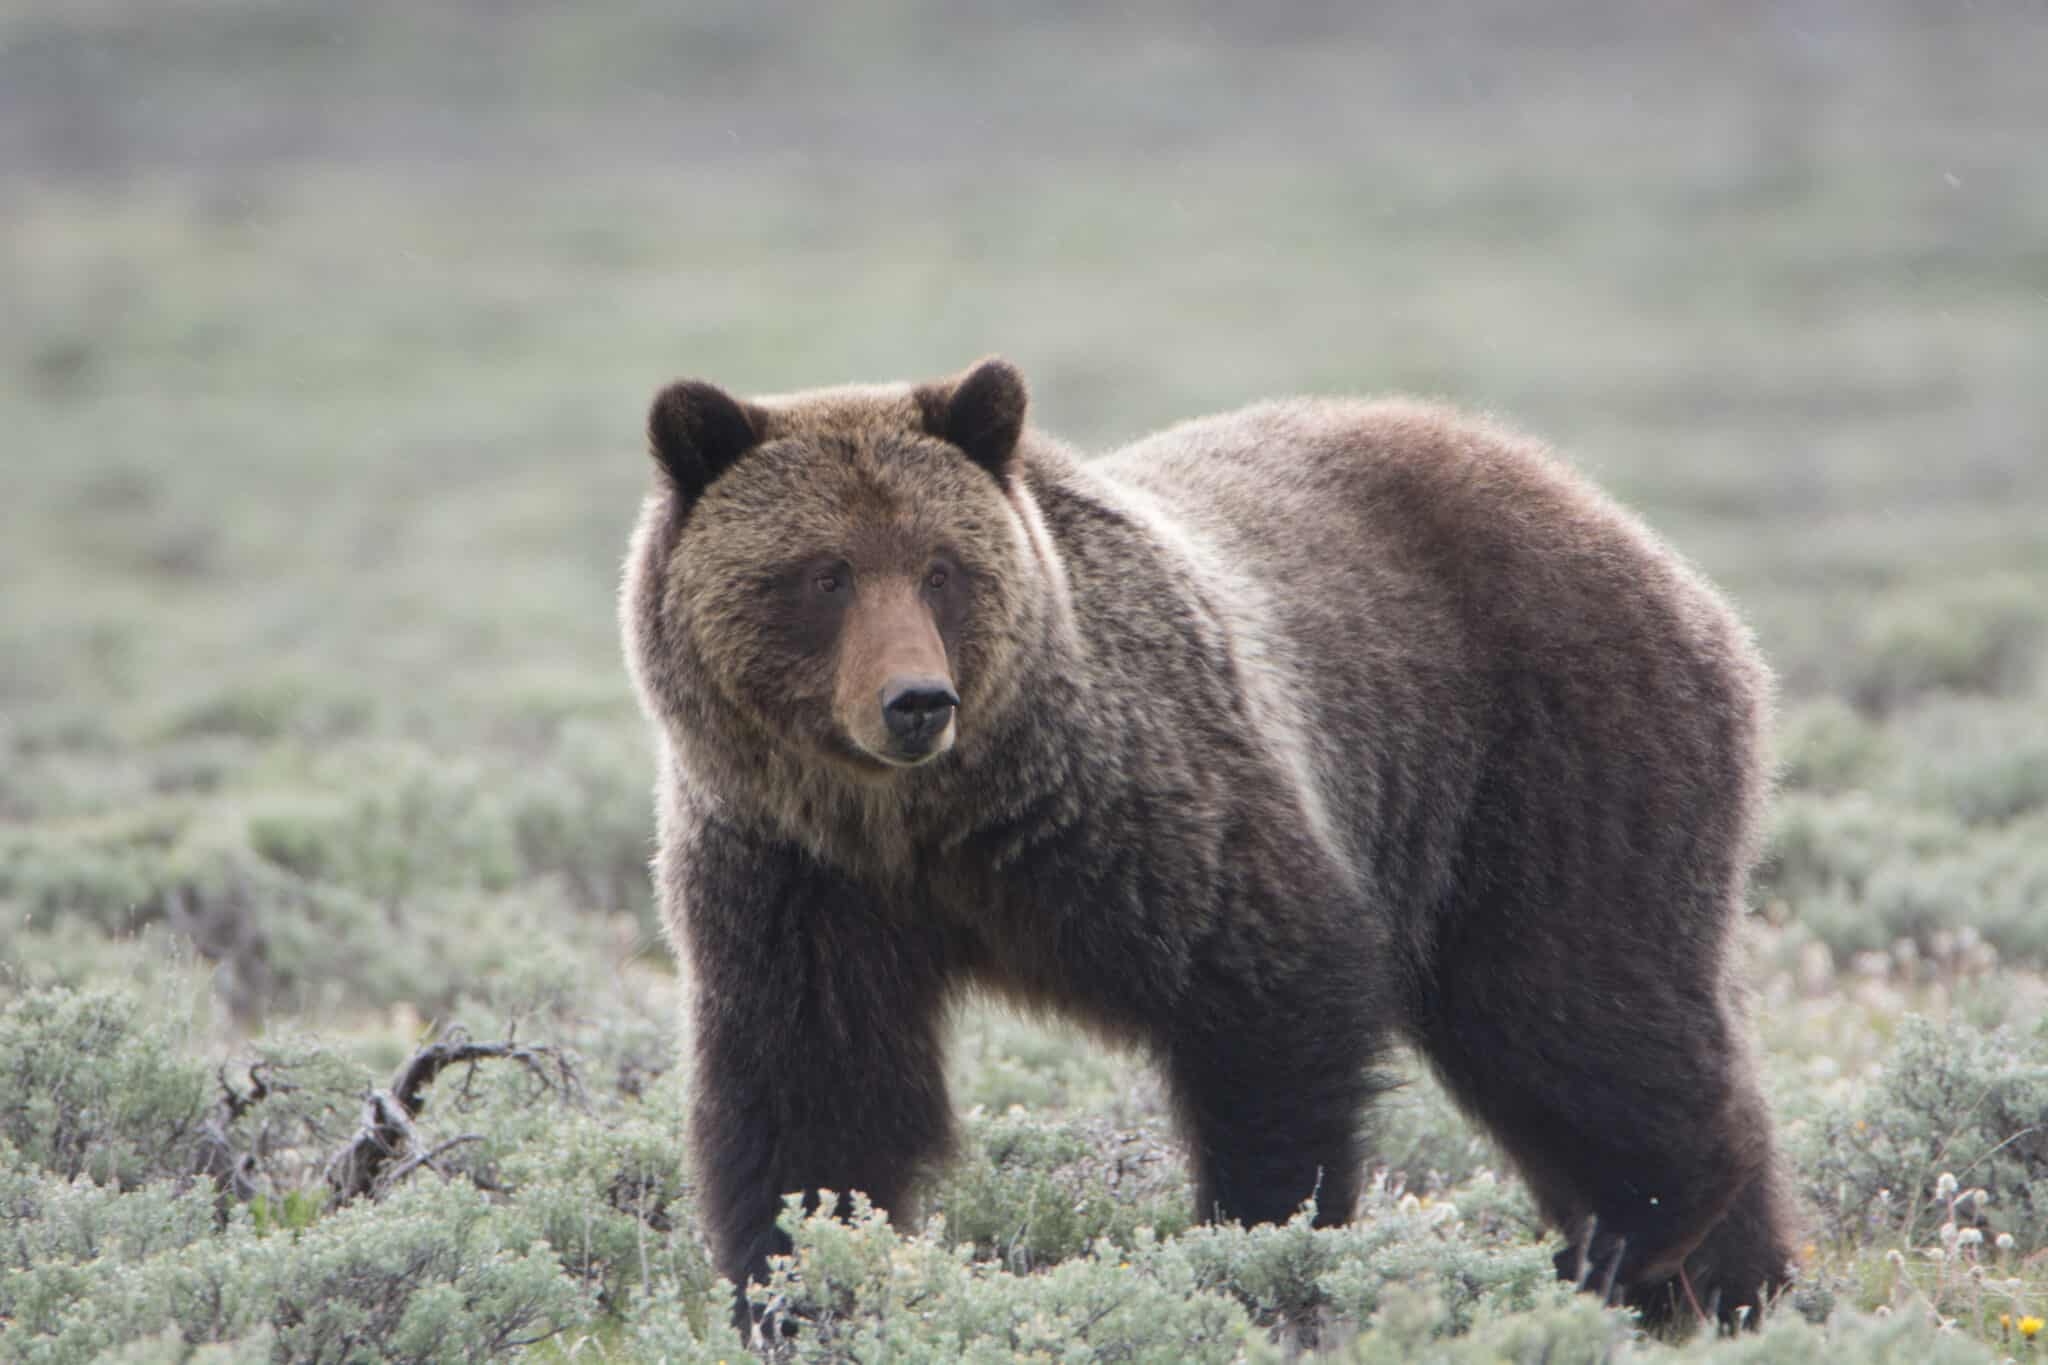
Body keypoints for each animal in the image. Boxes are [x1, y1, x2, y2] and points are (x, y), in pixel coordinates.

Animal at [618, 358, 1794, 1326]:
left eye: (942, 567)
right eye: (823, 572)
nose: (915, 701)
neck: (933, 823)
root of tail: (1622, 525)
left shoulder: (1145, 811)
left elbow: (1273, 1006)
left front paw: (1261, 1251)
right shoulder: (798, 877)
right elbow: (815, 1098)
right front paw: (798, 1287)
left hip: (1549, 760)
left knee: (1581, 1015)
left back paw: (1663, 1250)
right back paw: (1714, 1284)